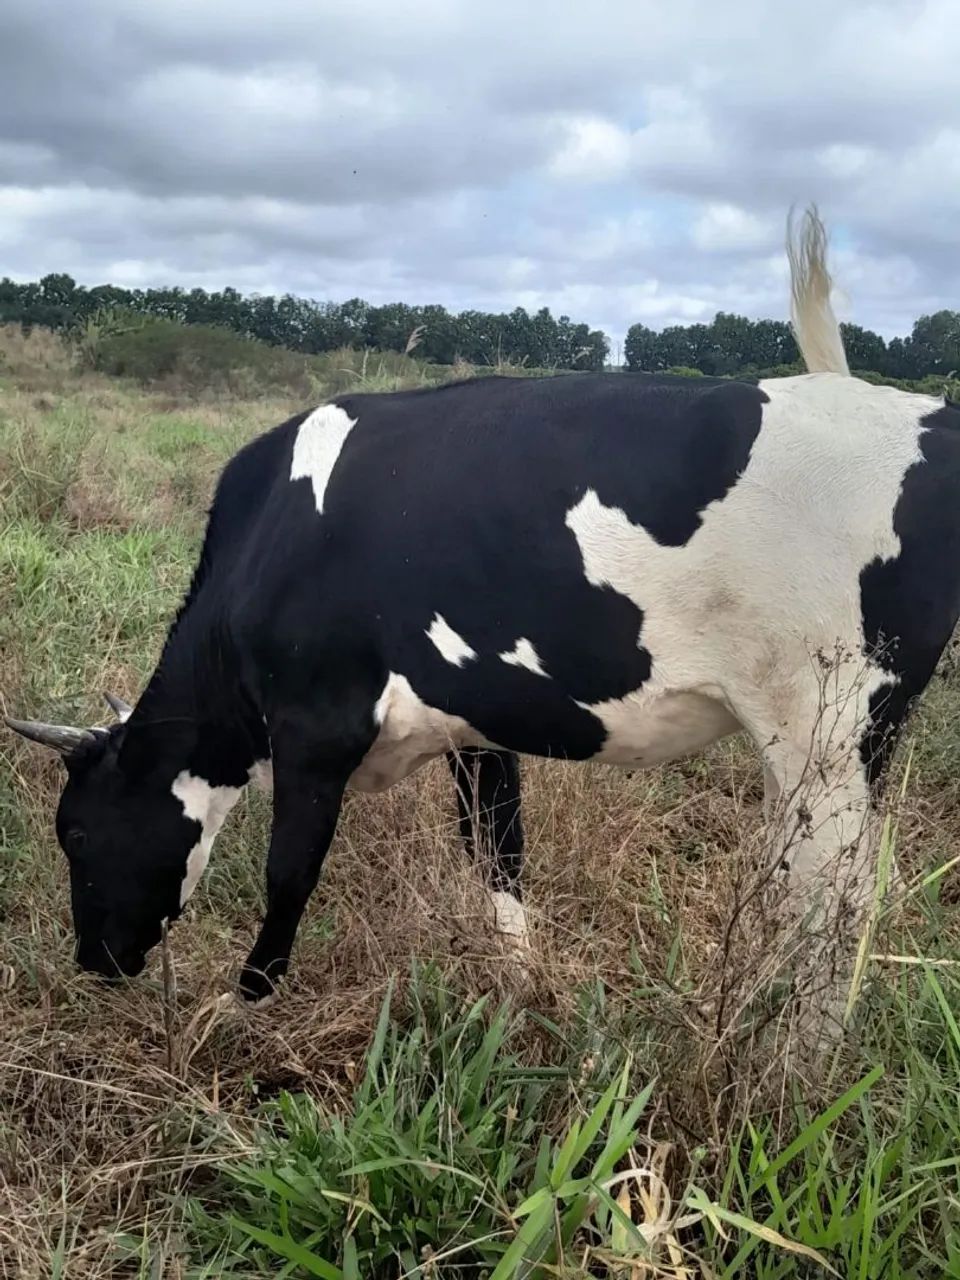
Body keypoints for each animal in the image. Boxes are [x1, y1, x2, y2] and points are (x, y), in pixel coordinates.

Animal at [7, 207, 960, 1014]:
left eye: (76, 834)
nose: (94, 963)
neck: (270, 541)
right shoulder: (475, 721)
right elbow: (498, 855)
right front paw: (519, 980)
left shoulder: (317, 724)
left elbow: (290, 872)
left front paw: (247, 1003)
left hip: (830, 735)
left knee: (836, 906)